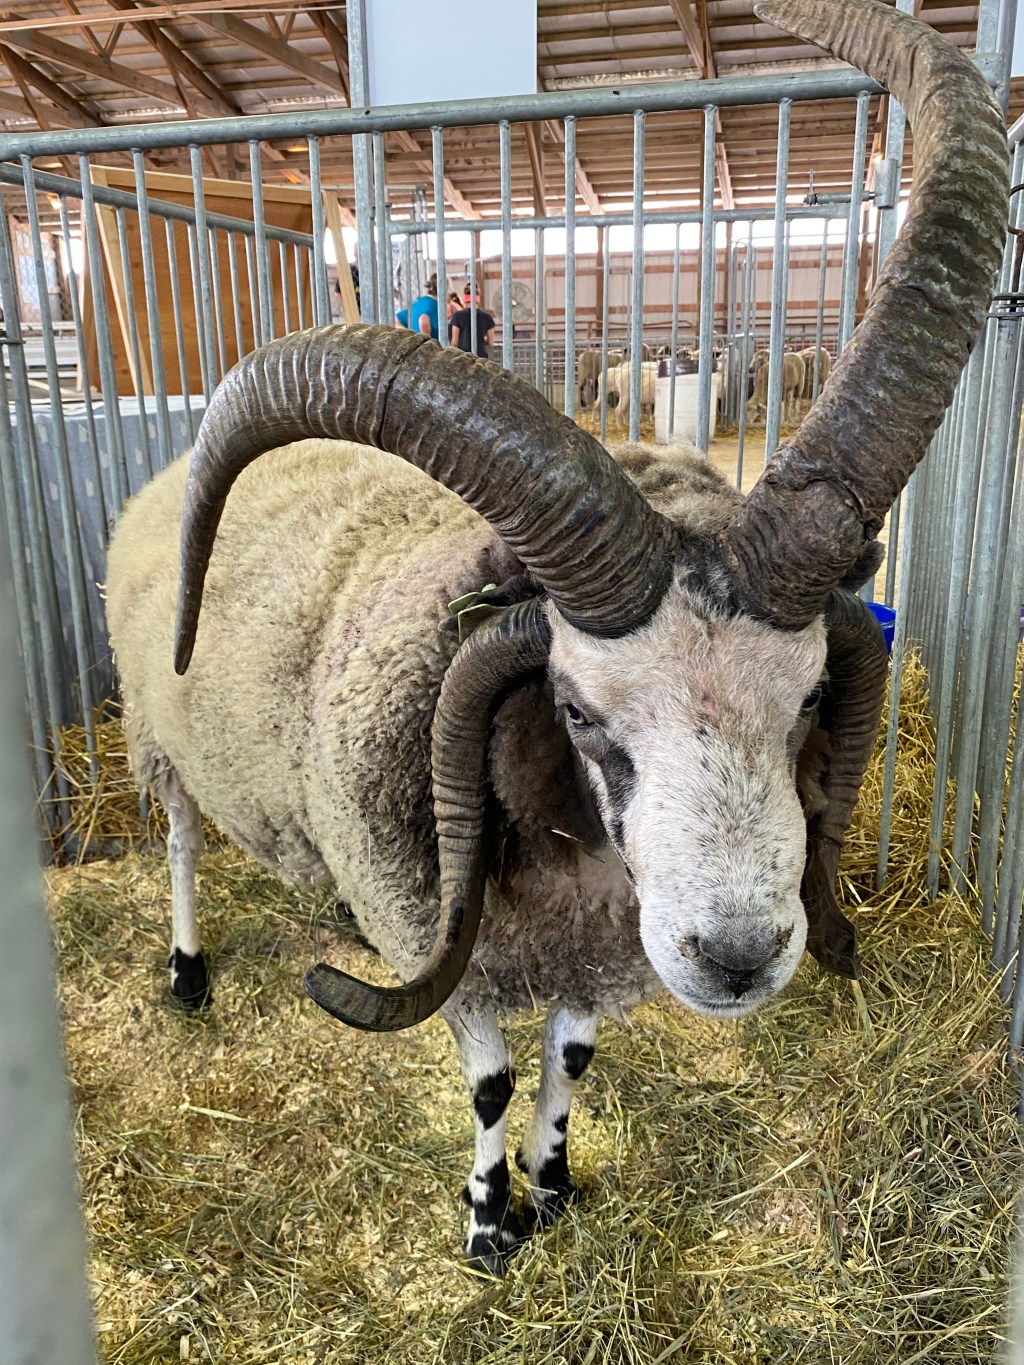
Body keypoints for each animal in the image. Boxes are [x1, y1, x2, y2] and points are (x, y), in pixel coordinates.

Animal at [103, 0, 1006, 1277]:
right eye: (576, 711)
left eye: (809, 701)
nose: (739, 959)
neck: (572, 867)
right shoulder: (454, 946)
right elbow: (485, 1084)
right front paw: (491, 1223)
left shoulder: (599, 953)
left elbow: (568, 1060)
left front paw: (557, 1183)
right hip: (160, 733)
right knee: (182, 842)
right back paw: (185, 972)